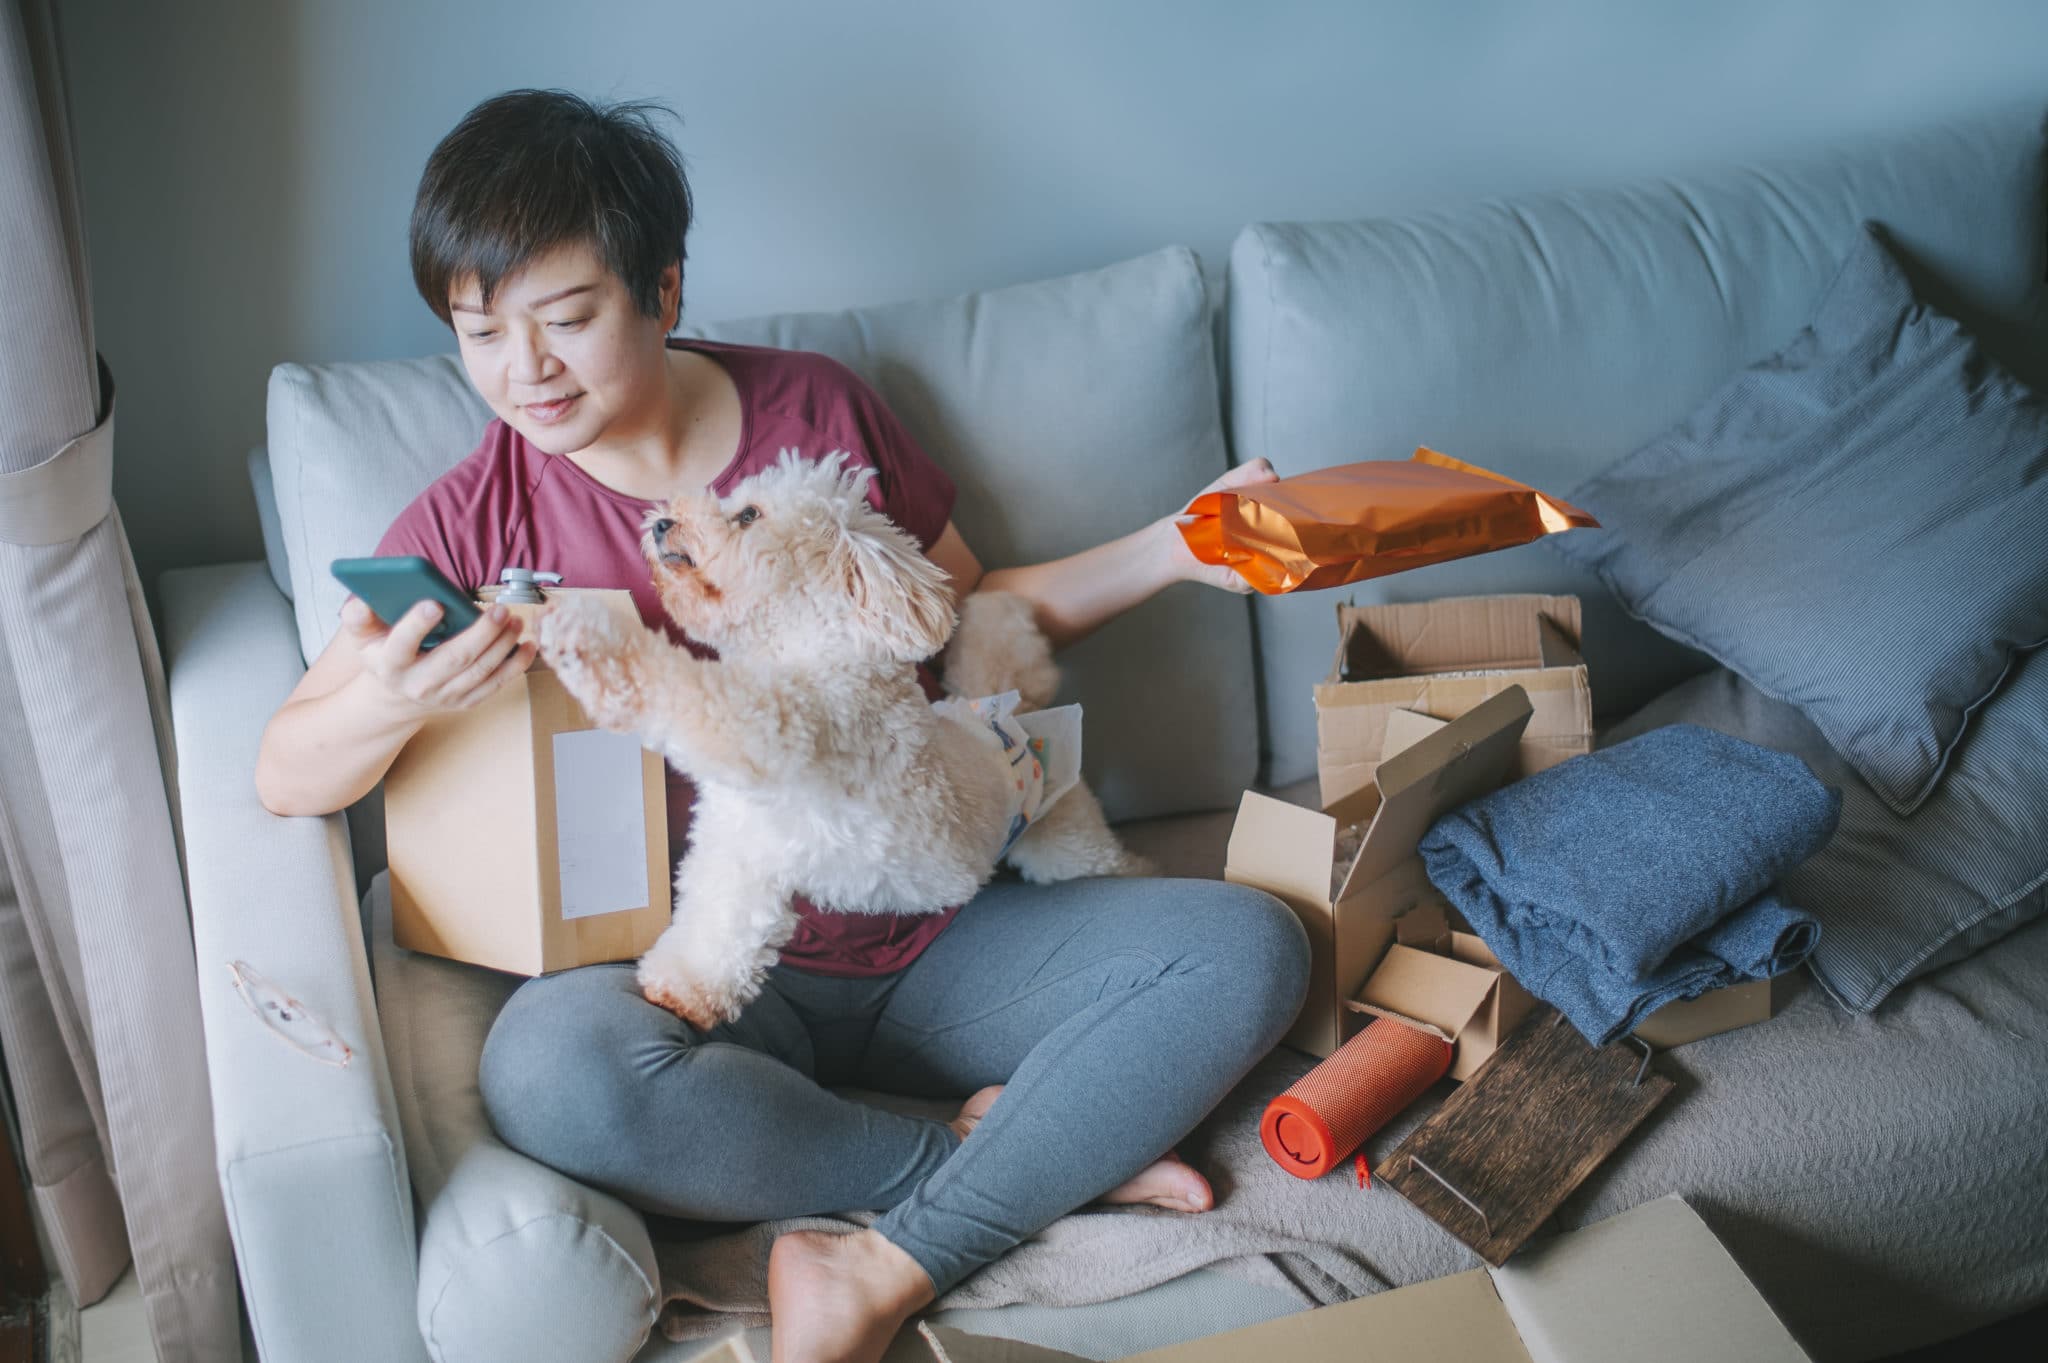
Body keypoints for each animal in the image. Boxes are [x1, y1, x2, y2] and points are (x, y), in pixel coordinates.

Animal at [536, 450, 1146, 1023]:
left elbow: (682, 687)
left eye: (748, 515)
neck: (806, 649)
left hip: (1068, 843)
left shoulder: (778, 726)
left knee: (1108, 864)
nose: (661, 521)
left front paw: (587, 632)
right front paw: (685, 988)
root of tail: (1017, 716)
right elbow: (718, 919)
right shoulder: (741, 846)